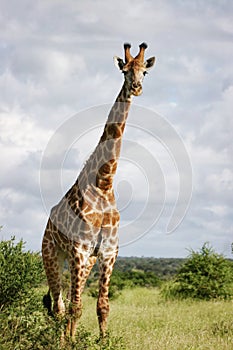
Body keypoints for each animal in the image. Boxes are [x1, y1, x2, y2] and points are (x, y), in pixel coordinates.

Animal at [41, 41, 155, 340]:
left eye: (145, 72)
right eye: (125, 71)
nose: (136, 87)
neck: (104, 184)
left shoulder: (107, 252)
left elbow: (102, 305)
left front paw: (103, 341)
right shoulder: (79, 249)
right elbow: (75, 307)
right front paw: (70, 343)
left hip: (83, 262)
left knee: (67, 301)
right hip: (52, 254)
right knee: (58, 304)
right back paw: (59, 340)